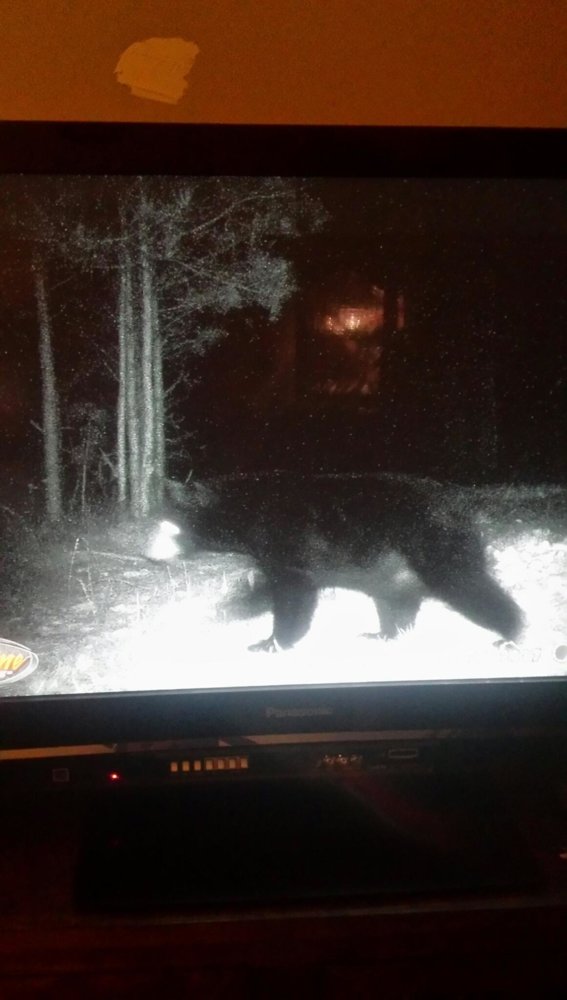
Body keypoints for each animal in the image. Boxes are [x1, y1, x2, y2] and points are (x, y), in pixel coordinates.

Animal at [148, 471, 523, 652]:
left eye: (168, 526)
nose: (148, 552)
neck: (248, 511)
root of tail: (465, 504)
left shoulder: (288, 539)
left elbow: (292, 592)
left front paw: (266, 640)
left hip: (431, 542)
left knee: (464, 583)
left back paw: (510, 633)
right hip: (393, 568)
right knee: (396, 599)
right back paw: (383, 634)